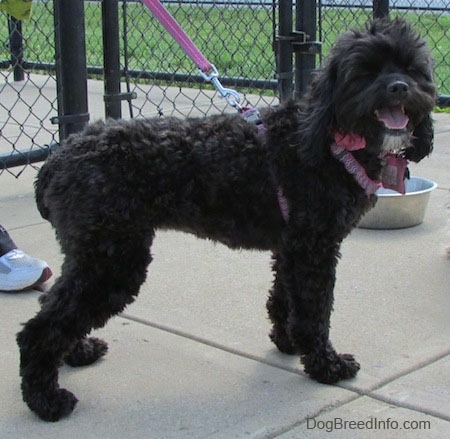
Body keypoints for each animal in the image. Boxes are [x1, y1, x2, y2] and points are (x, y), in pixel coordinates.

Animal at [17, 18, 436, 422]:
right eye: (366, 70)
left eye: (412, 70)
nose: (400, 87)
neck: (330, 135)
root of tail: (58, 157)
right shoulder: (314, 249)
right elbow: (314, 310)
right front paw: (325, 364)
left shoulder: (292, 247)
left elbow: (285, 298)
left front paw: (287, 341)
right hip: (112, 259)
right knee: (39, 329)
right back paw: (46, 400)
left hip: (92, 254)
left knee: (57, 306)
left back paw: (77, 352)